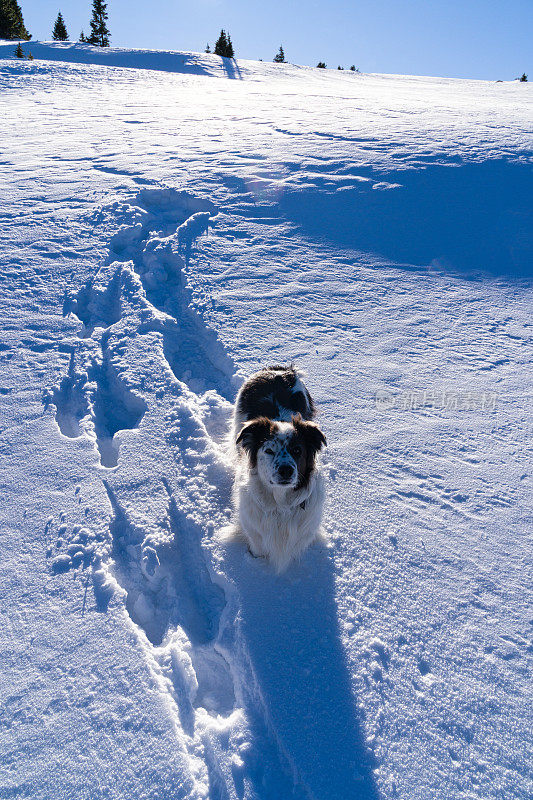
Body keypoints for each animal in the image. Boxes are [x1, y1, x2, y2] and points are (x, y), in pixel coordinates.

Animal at [231, 366, 326, 572]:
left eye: (297, 450)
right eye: (269, 450)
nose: (286, 471)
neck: (281, 505)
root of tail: (279, 370)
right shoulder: (256, 537)